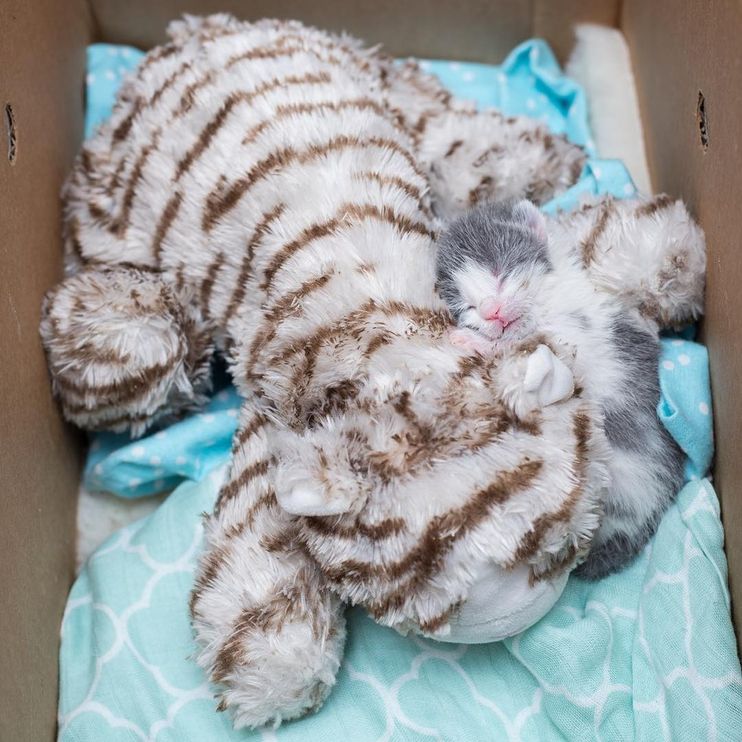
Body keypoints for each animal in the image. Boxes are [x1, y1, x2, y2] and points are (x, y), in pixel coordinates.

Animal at [436, 202, 684, 580]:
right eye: (468, 307)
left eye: (498, 272)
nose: (492, 312)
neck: (545, 302)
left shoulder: (574, 333)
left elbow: (522, 343)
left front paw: (471, 341)